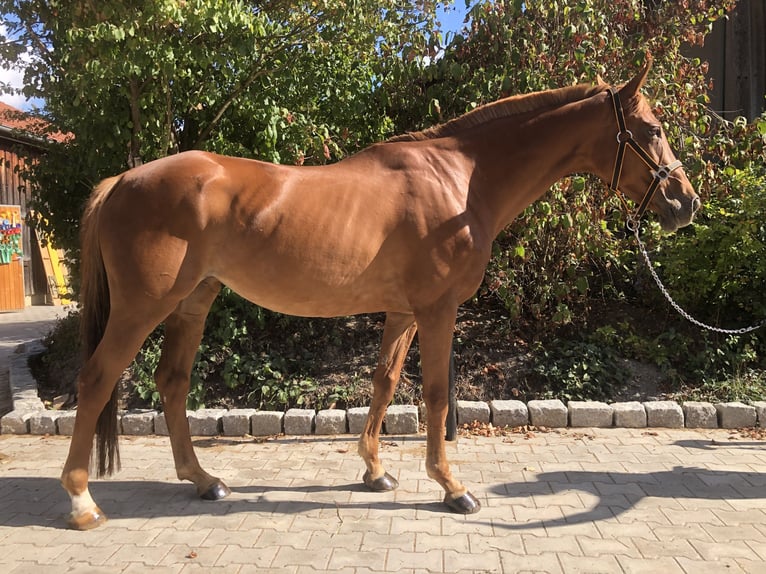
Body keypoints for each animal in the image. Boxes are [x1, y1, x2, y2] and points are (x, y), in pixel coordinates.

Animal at [61, 57, 704, 532]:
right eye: (652, 131)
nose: (686, 204)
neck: (460, 181)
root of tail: (123, 180)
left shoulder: (402, 312)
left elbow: (385, 382)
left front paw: (375, 472)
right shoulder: (438, 311)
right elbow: (438, 395)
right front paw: (453, 487)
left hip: (193, 302)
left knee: (171, 383)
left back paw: (203, 481)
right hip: (142, 307)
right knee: (96, 379)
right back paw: (83, 502)